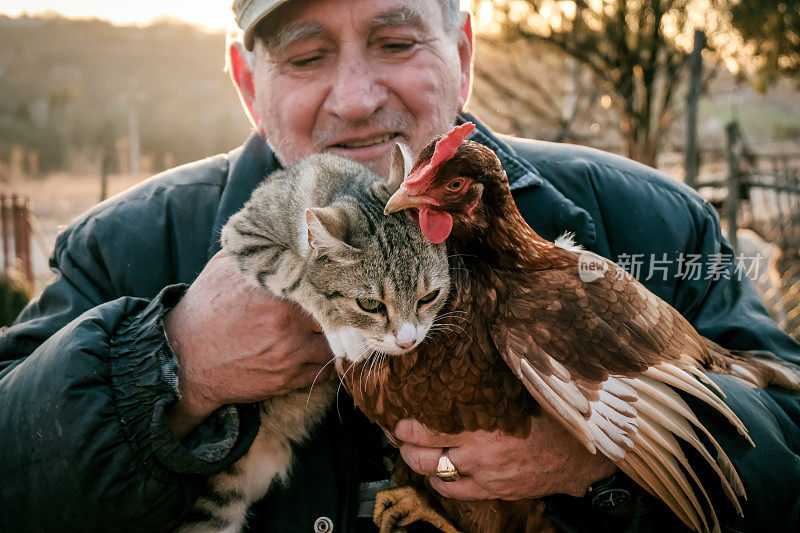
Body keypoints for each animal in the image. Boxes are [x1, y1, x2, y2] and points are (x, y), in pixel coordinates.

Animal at [177, 152, 450, 528]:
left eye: (429, 297)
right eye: (370, 305)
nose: (408, 342)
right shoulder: (243, 232)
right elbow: (296, 272)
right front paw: (342, 329)